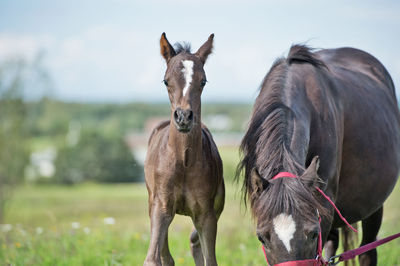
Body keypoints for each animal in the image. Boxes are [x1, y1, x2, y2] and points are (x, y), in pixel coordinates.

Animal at [144, 33, 225, 266]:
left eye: (203, 81)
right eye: (166, 81)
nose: (183, 117)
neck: (184, 162)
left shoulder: (207, 215)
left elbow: (210, 260)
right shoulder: (161, 207)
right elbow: (153, 258)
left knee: (193, 242)